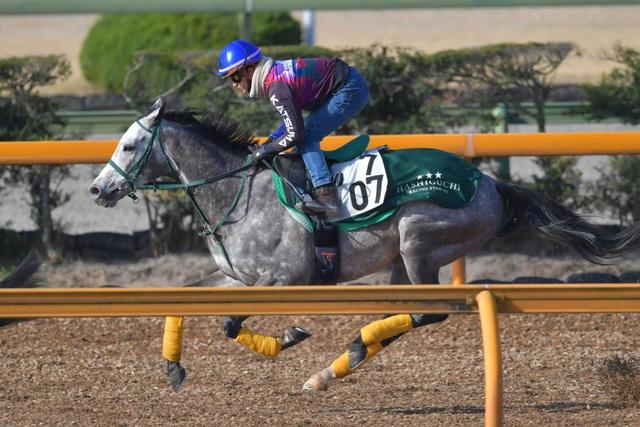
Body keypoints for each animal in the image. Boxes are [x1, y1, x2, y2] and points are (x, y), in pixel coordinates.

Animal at [89, 98, 640, 392]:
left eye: (130, 145)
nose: (97, 189)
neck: (236, 192)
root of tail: (489, 183)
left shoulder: (284, 278)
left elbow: (229, 323)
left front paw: (287, 336)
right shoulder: (235, 275)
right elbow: (183, 301)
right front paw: (174, 367)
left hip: (419, 241)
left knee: (429, 311)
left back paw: (346, 354)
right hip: (404, 256)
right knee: (408, 312)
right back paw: (340, 363)